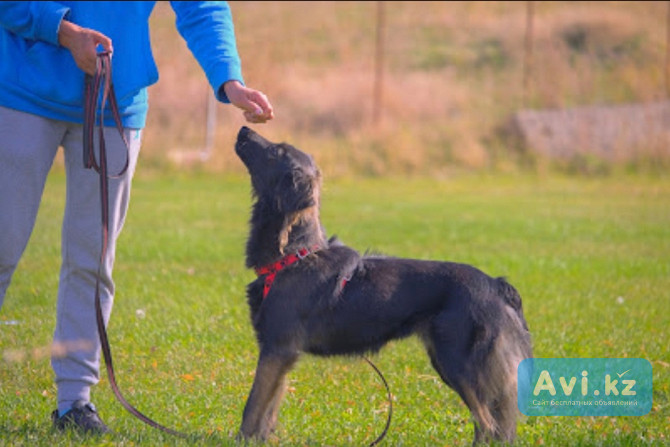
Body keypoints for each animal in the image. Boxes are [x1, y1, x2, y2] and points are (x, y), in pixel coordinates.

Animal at [234, 126, 532, 444]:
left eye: (276, 150)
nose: (244, 129)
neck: (295, 256)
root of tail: (496, 285)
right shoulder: (280, 352)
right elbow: (268, 412)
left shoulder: (278, 348)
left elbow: (253, 408)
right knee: (491, 424)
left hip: (459, 363)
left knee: (487, 423)